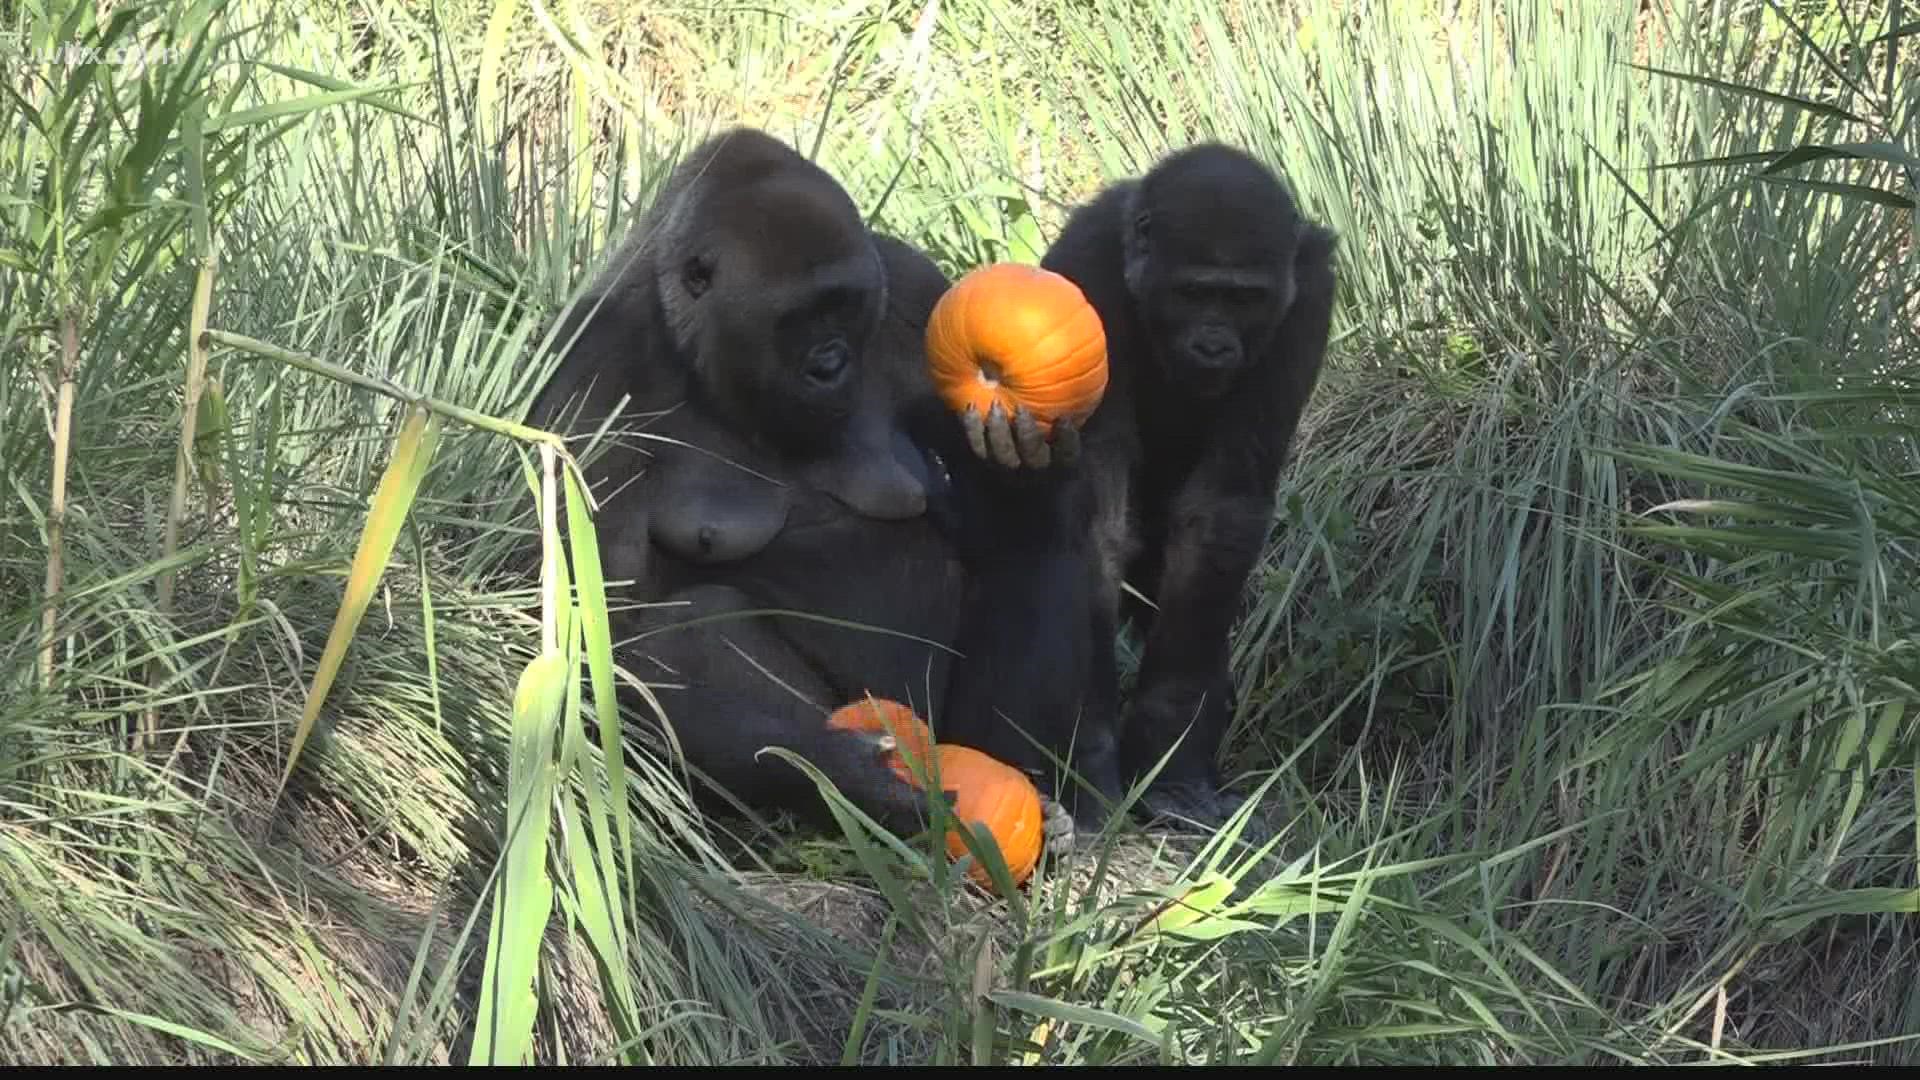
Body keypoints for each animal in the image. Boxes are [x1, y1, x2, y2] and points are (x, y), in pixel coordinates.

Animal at [526, 127, 1098, 841]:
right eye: (794, 318)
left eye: (845, 307)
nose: (831, 365)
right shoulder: (593, 373)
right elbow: (604, 628)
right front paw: (845, 773)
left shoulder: (915, 290)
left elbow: (989, 528)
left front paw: (1021, 466)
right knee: (689, 624)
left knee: (1037, 553)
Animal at [967, 141, 1344, 822]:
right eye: (1194, 293)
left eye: (1244, 300)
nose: (1215, 346)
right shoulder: (1086, 269)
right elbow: (1097, 520)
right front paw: (1089, 756)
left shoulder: (1309, 297)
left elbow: (1221, 513)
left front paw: (1172, 762)